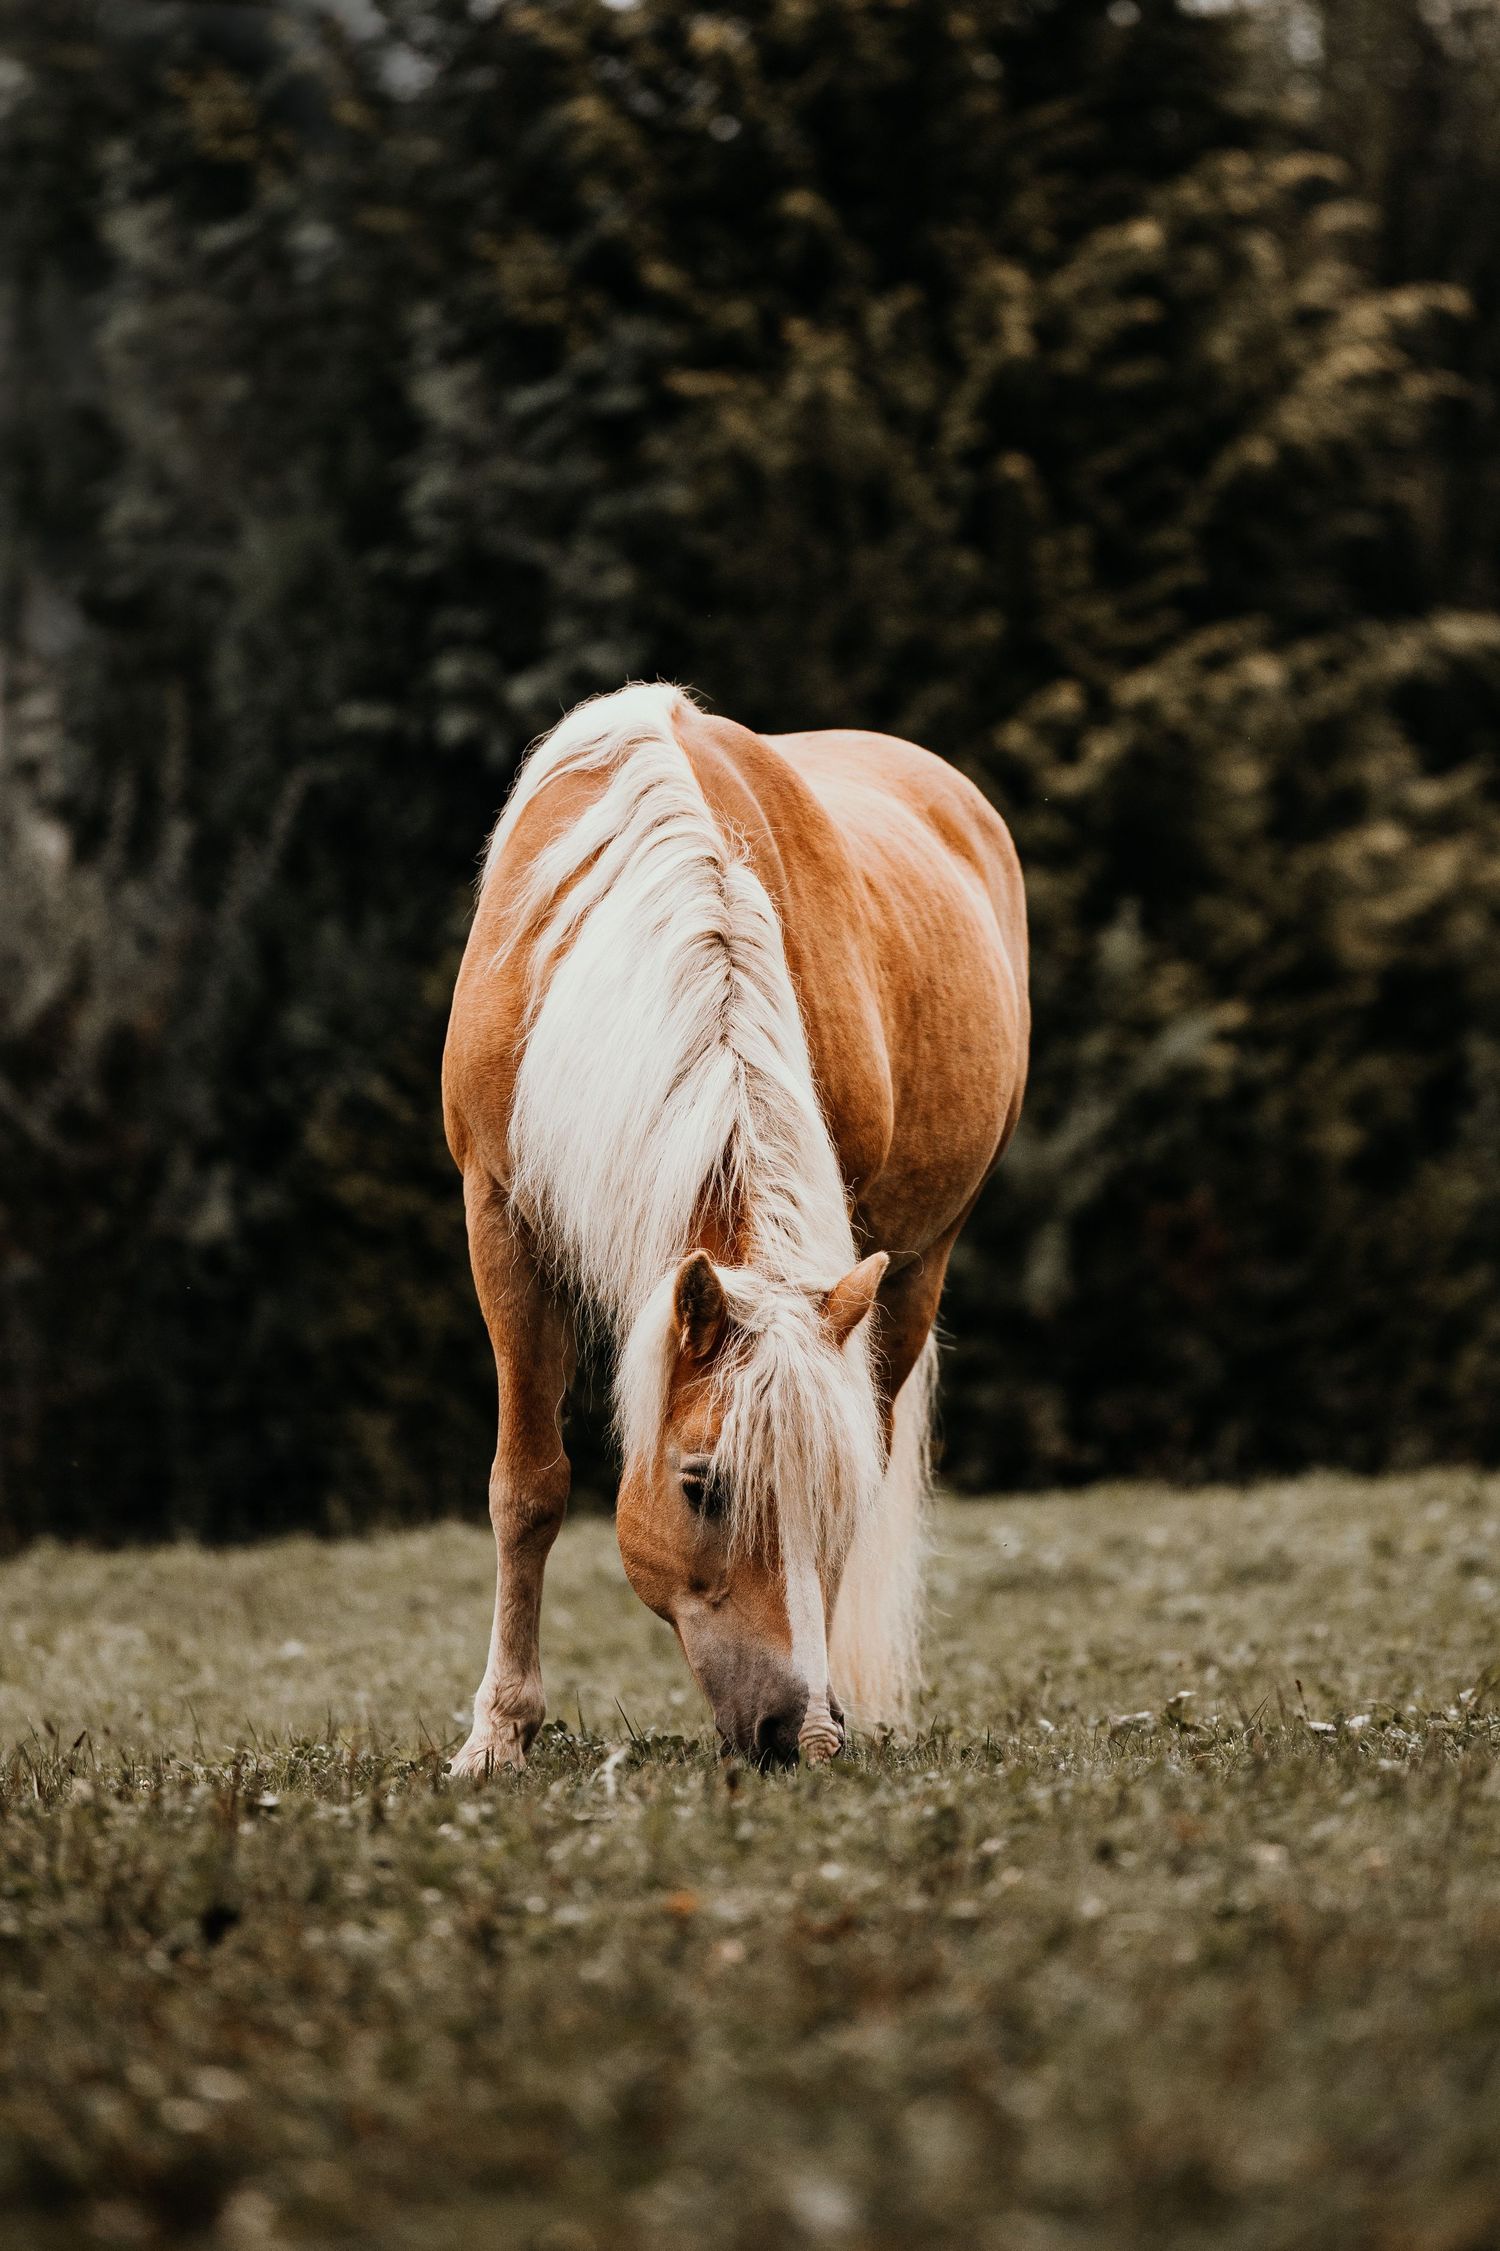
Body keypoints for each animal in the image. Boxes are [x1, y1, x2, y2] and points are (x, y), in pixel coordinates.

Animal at [442, 684, 1028, 1772]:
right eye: (701, 1486)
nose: (801, 1734)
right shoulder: (500, 1217)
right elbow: (527, 1487)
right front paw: (498, 1735)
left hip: (917, 1266)